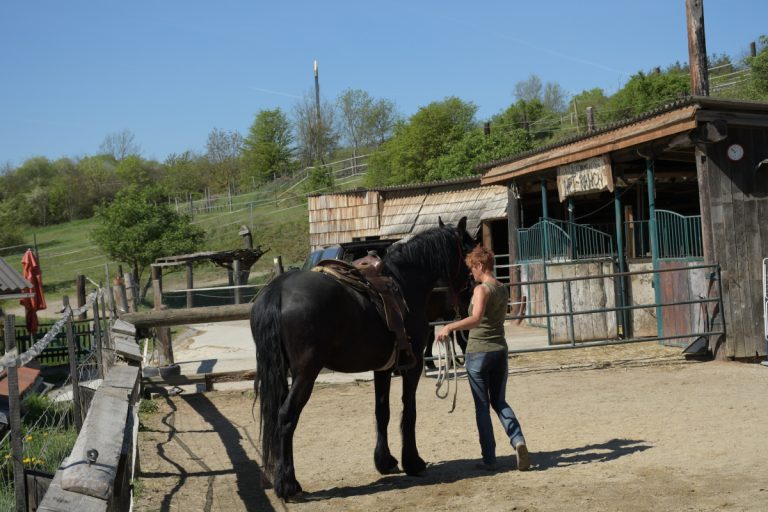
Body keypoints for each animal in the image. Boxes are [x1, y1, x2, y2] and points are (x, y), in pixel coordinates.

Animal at [252, 217, 474, 500]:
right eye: (469, 251)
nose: (472, 290)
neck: (406, 282)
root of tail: (278, 291)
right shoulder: (411, 366)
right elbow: (409, 411)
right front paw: (413, 462)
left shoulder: (383, 368)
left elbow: (382, 411)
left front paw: (385, 461)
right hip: (305, 374)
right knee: (286, 417)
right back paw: (288, 485)